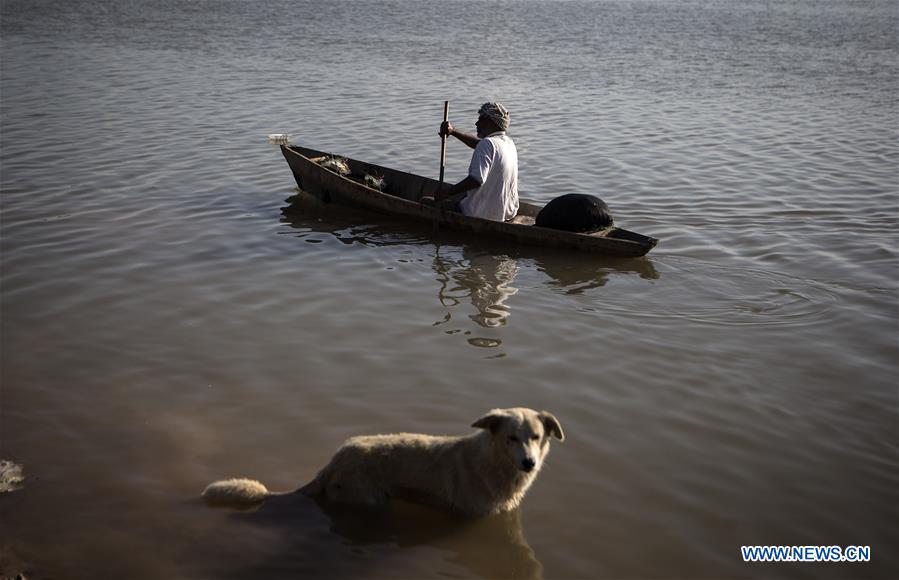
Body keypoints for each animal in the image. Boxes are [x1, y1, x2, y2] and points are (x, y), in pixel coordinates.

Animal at [204, 408, 564, 516]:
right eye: (511, 438)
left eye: (535, 437)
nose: (529, 463)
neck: (492, 462)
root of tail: (330, 463)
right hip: (369, 498)